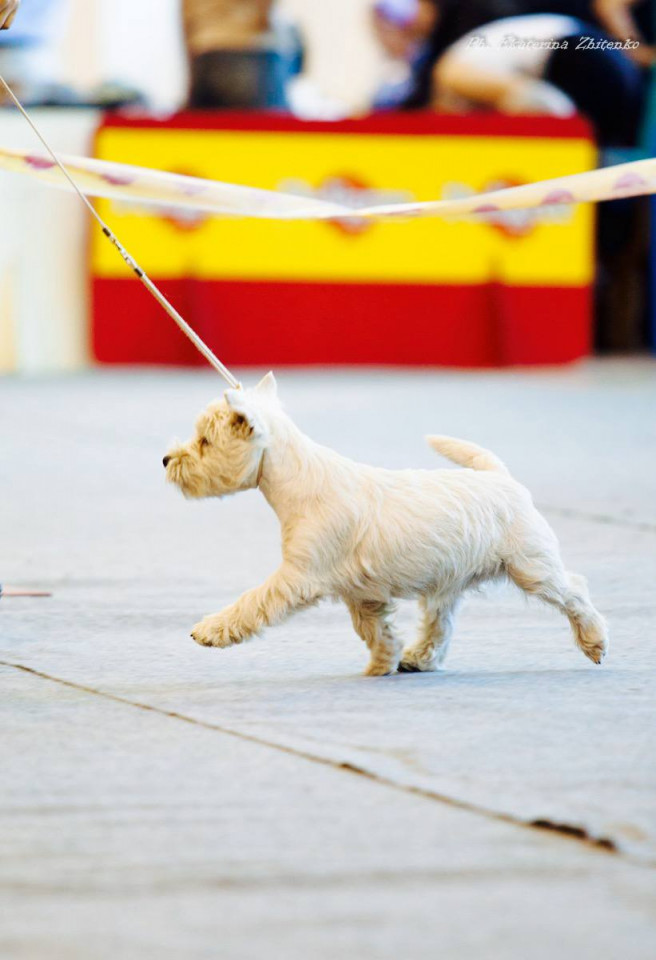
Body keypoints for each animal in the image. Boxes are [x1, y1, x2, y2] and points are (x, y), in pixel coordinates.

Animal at [163, 372, 608, 676]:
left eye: (205, 441)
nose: (167, 460)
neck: (299, 482)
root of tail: (501, 476)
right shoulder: (361, 593)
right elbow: (376, 631)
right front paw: (384, 663)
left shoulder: (298, 575)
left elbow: (251, 603)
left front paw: (210, 630)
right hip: (447, 581)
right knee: (439, 624)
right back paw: (418, 658)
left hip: (531, 567)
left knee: (574, 592)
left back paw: (594, 642)